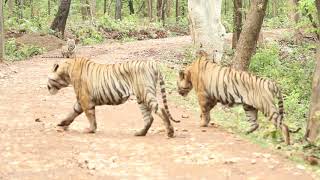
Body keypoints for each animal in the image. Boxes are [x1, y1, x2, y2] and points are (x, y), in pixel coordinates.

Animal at [47, 57, 180, 138]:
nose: (47, 87)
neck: (66, 72)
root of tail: (151, 63)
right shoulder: (80, 101)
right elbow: (72, 112)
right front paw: (62, 124)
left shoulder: (85, 99)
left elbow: (90, 116)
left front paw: (91, 130)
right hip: (141, 98)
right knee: (149, 118)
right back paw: (140, 133)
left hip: (145, 93)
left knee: (160, 109)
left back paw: (170, 132)